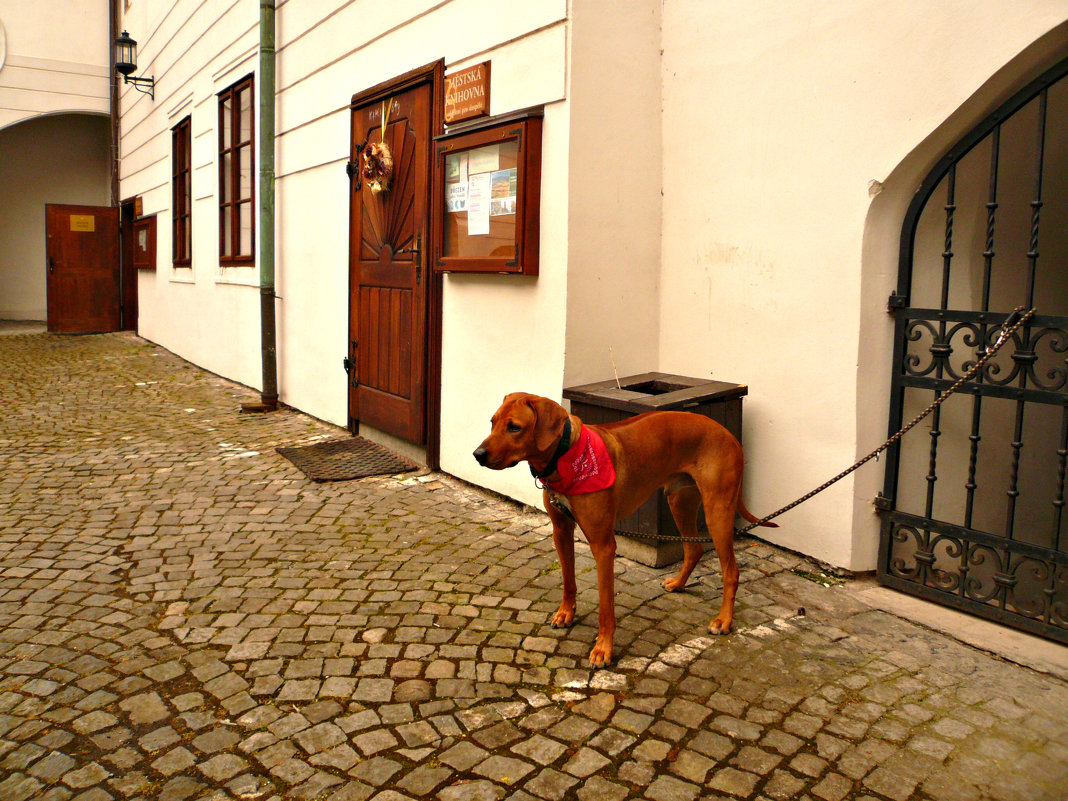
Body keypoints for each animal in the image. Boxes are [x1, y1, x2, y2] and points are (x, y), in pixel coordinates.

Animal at [476, 393, 777, 666]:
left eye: (514, 427)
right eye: (492, 422)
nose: (477, 454)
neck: (566, 456)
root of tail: (728, 433)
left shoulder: (603, 545)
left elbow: (606, 606)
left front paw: (603, 649)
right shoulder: (561, 531)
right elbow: (569, 581)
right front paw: (566, 613)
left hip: (717, 511)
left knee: (731, 570)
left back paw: (724, 620)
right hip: (679, 500)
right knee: (694, 549)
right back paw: (679, 584)